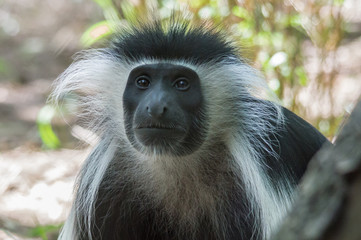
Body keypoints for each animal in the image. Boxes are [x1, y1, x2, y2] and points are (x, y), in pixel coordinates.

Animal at [52, 19, 328, 239]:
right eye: (143, 82)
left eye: (181, 84)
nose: (156, 107)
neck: (173, 163)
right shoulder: (102, 181)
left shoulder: (259, 163)